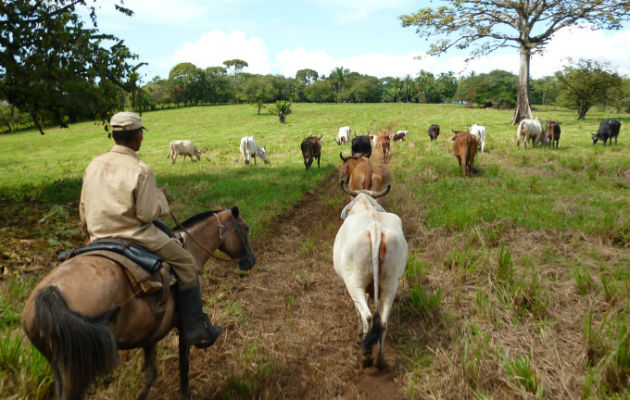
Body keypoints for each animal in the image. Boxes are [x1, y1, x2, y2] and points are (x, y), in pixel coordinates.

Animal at [21, 206, 256, 400]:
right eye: (245, 228)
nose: (251, 261)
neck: (190, 247)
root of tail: (49, 293)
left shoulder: (149, 332)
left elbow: (151, 372)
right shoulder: (183, 326)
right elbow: (184, 364)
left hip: (59, 365)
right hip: (75, 371)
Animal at [336, 183, 410, 368]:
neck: (366, 207)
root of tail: (375, 229)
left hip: (354, 283)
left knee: (368, 316)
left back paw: (366, 356)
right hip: (390, 284)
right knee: (382, 322)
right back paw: (380, 359)